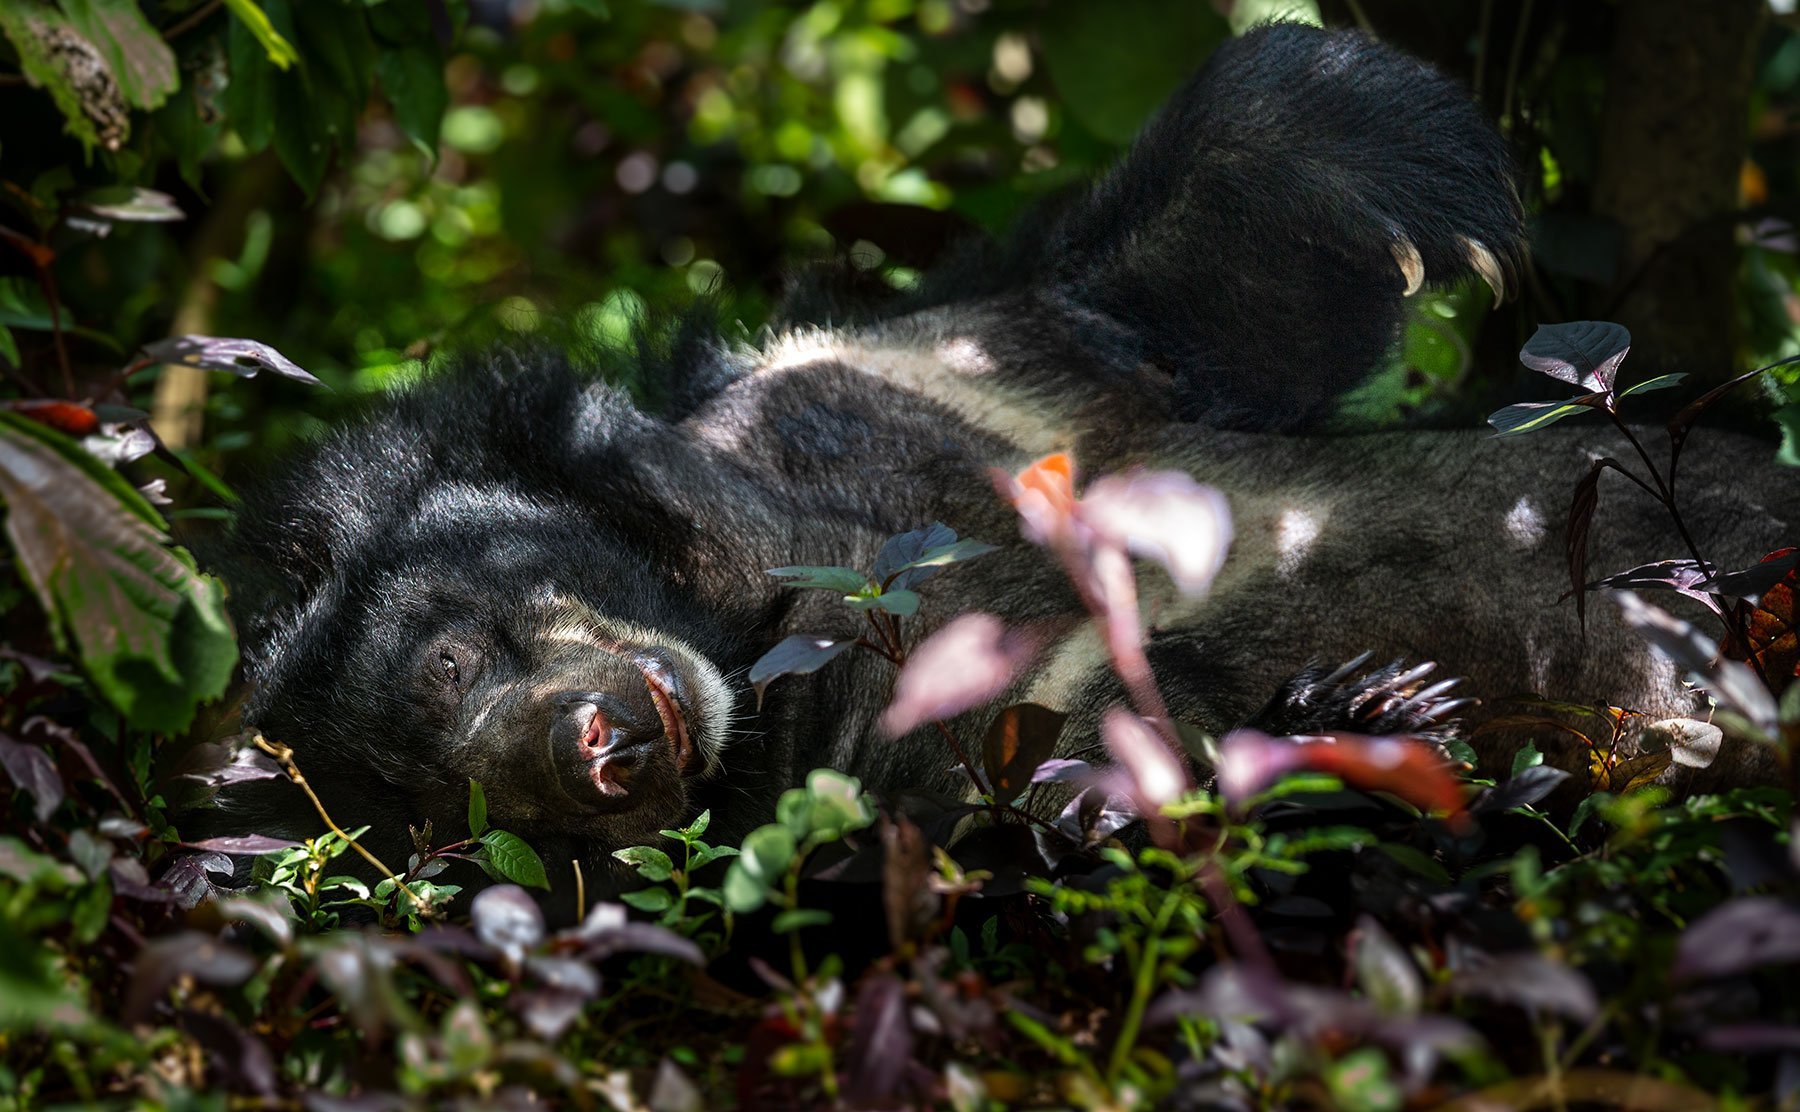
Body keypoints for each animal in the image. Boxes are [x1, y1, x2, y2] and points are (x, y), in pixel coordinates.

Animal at [217, 23, 1792, 892]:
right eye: (457, 821)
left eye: (453, 661)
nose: (583, 749)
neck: (743, 609)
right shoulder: (890, 758)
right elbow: (1066, 781)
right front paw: (1365, 710)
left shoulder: (889, 391)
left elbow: (1179, 277)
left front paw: (1444, 175)